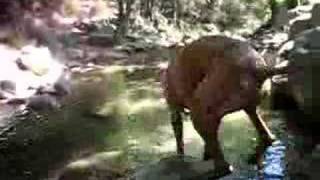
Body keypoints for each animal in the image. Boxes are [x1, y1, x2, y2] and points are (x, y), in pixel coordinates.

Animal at [161, 35, 288, 179]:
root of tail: (259, 69)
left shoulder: (174, 109)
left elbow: (179, 136)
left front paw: (181, 155)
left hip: (200, 112)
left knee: (225, 168)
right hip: (249, 108)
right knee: (266, 134)